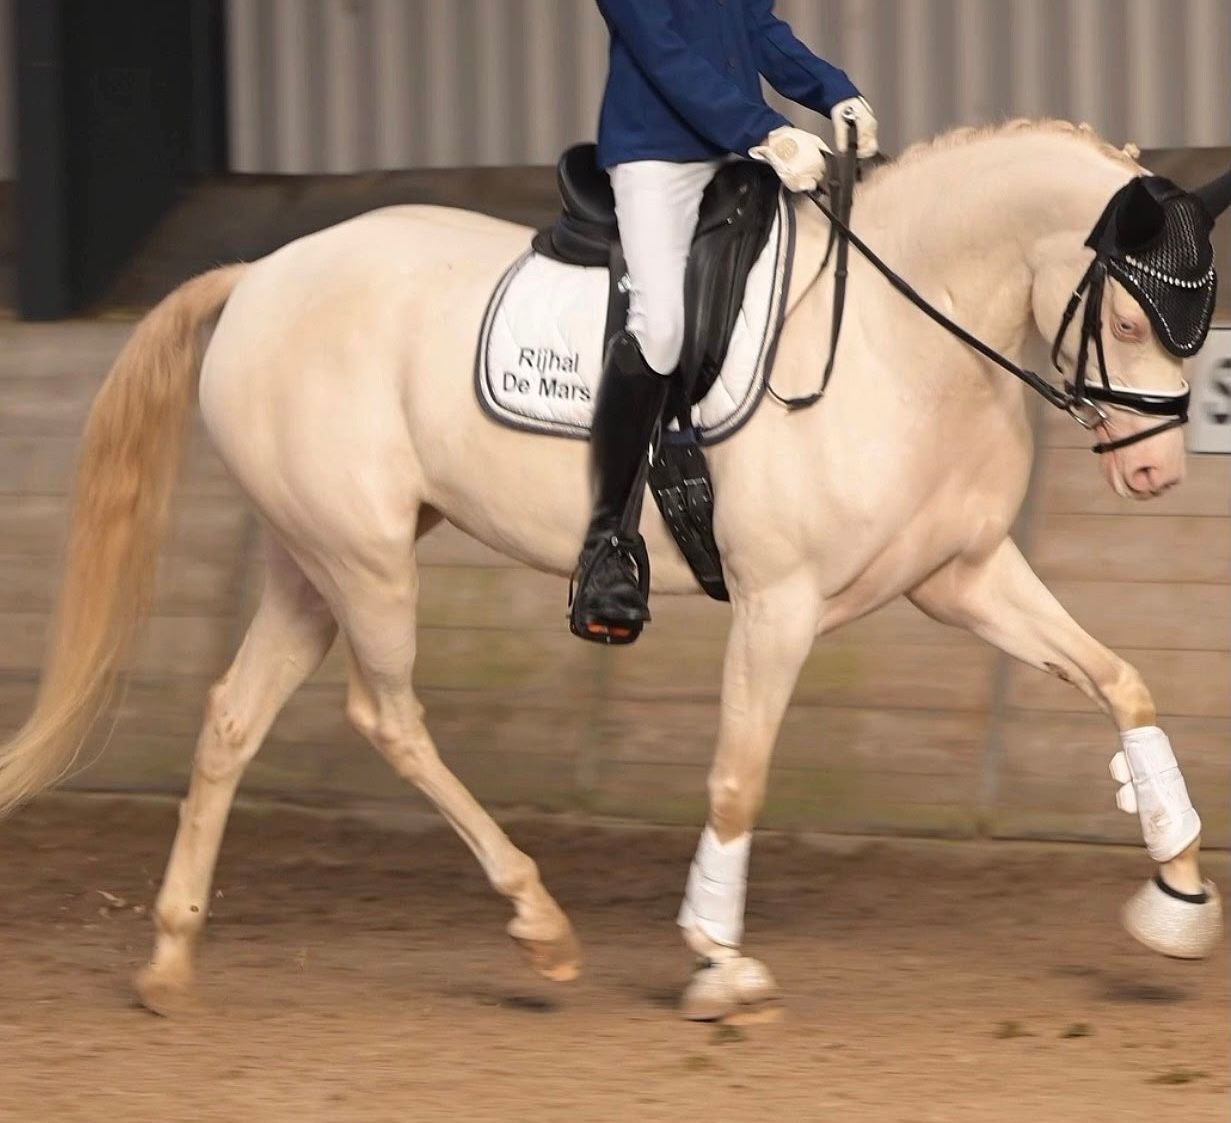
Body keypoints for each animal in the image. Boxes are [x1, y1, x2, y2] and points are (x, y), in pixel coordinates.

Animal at [0, 119, 1225, 1021]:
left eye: (1195, 323)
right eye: (1128, 317)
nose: (1155, 471)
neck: (894, 337)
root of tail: (259, 274)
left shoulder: (961, 572)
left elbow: (1119, 680)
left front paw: (1175, 888)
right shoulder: (779, 606)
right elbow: (737, 777)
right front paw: (717, 961)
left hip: (313, 561)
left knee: (231, 719)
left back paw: (169, 963)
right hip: (364, 557)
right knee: (386, 713)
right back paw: (539, 926)